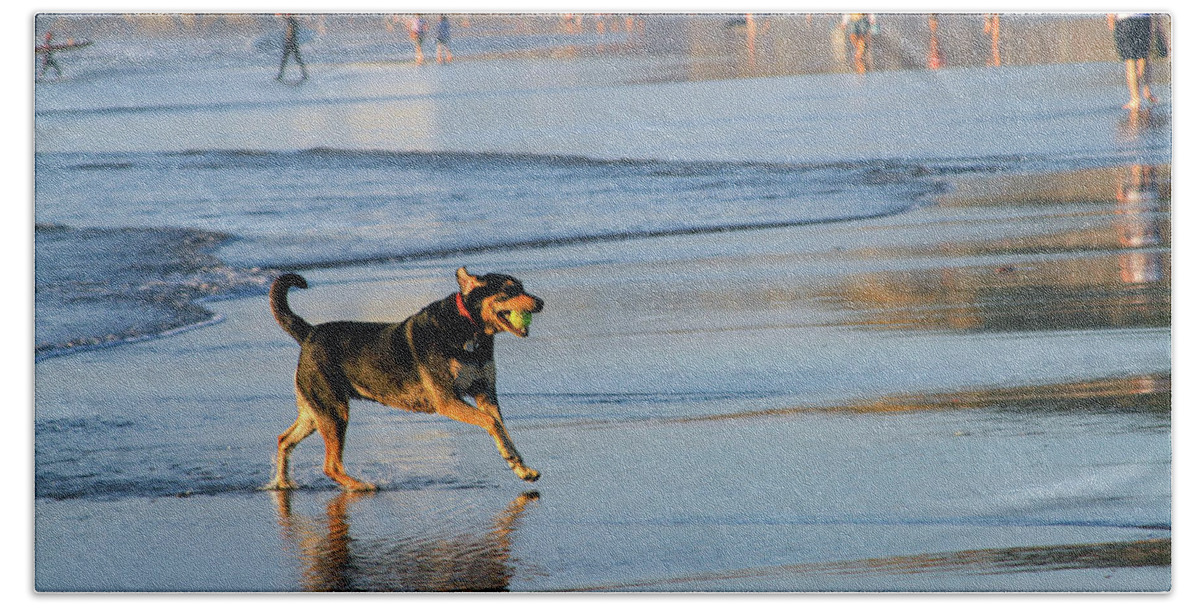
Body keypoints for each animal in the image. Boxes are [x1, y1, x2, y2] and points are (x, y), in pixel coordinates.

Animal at [265, 268, 547, 491]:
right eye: (509, 290)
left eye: (522, 287)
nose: (541, 302)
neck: (469, 328)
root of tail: (309, 333)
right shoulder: (447, 400)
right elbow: (492, 423)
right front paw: (513, 460)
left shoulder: (486, 394)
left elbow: (502, 429)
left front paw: (521, 467)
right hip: (334, 413)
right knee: (330, 466)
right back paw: (361, 486)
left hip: (315, 413)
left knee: (284, 440)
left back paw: (283, 483)